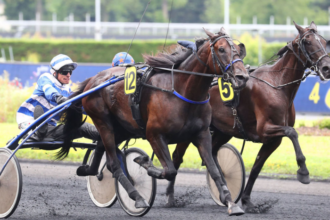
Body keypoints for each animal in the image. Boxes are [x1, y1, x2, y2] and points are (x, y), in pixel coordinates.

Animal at [60, 28, 250, 216]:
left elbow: (214, 170)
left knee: (102, 147)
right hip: (103, 121)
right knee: (113, 164)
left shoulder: (201, 134)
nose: (242, 77)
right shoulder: (154, 134)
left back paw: (88, 170)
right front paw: (144, 162)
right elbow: (170, 170)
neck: (182, 92)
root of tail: (92, 81)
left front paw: (231, 202)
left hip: (122, 128)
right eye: (221, 49)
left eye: (238, 50)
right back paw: (137, 197)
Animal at [166, 21, 330, 212]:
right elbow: (292, 132)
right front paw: (303, 172)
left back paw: (225, 193)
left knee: (212, 153)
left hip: (223, 130)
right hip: (191, 130)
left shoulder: (273, 140)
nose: (326, 68)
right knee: (177, 157)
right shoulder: (265, 129)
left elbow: (256, 168)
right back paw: (170, 196)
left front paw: (246, 201)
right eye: (308, 42)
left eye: (324, 42)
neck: (277, 84)